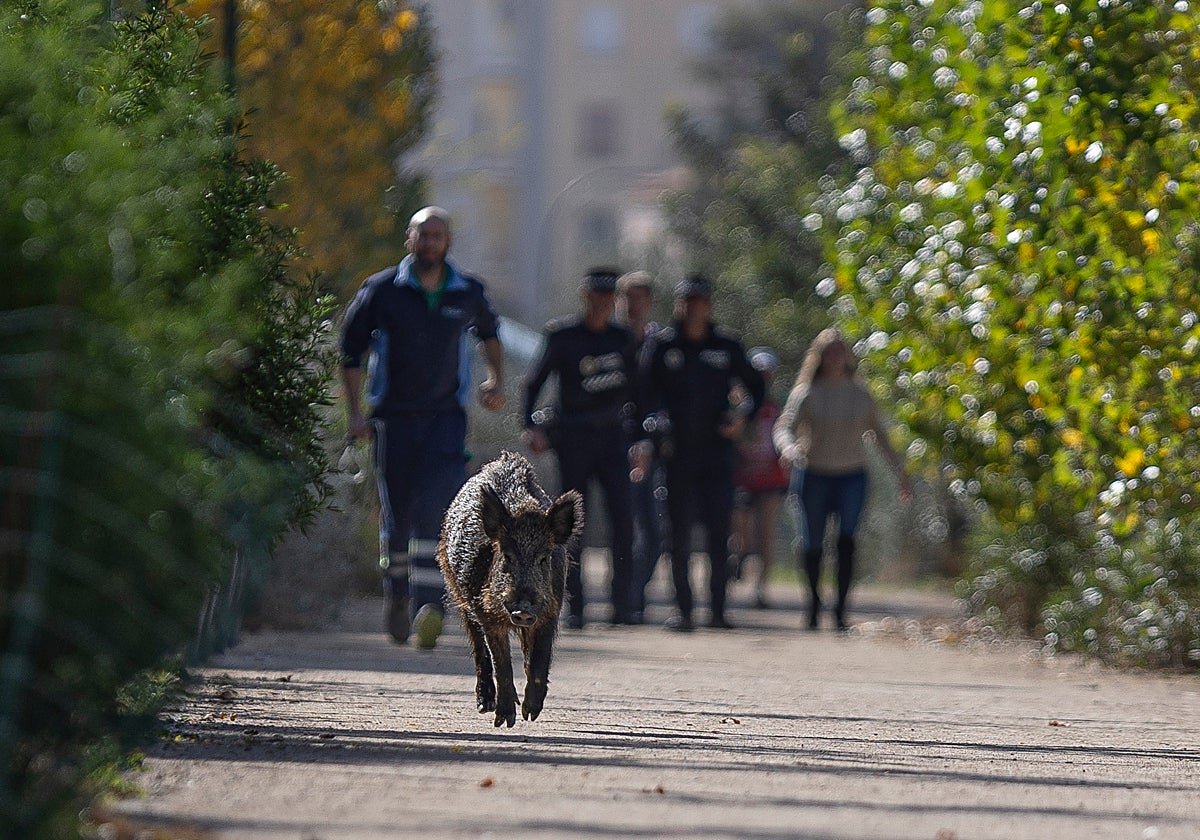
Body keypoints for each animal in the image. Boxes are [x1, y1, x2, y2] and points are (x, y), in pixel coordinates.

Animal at [438, 451, 583, 727]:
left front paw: (531, 713)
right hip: (457, 591)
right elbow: (501, 662)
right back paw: (485, 705)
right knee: (479, 649)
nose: (522, 609)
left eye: (544, 558)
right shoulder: (486, 612)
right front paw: (505, 720)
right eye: (507, 556)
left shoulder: (550, 610)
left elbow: (538, 659)